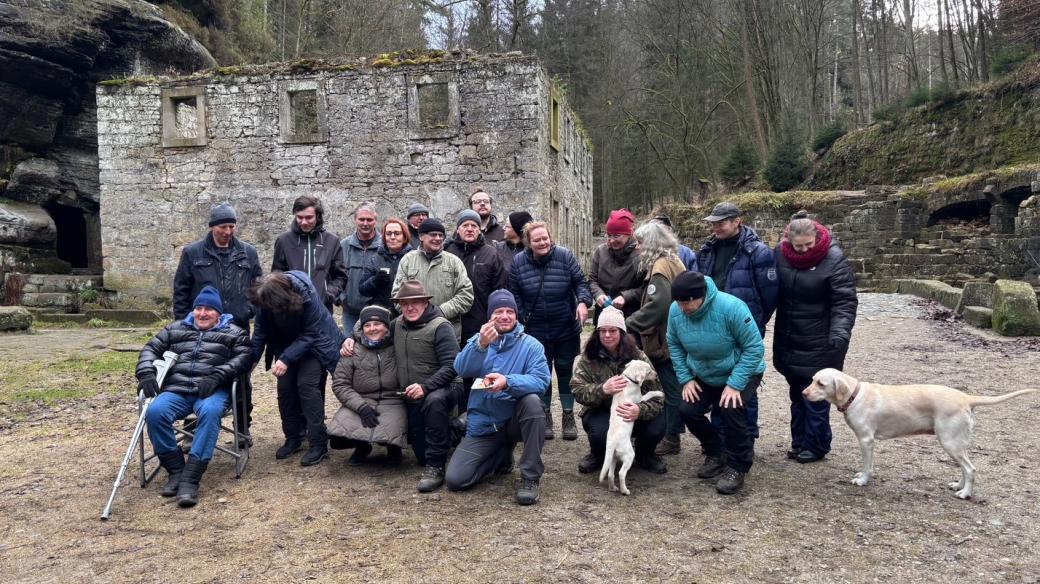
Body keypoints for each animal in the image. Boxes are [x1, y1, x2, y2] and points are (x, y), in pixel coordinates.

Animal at [599, 359, 661, 494]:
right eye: (649, 371)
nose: (656, 375)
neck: (628, 379)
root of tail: (612, 443)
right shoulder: (639, 399)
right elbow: (649, 393)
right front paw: (659, 393)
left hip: (613, 457)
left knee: (610, 474)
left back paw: (613, 488)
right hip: (629, 455)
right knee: (621, 473)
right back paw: (625, 491)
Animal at [802, 367, 1031, 494]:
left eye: (821, 383)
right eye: (811, 380)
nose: (803, 393)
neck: (854, 395)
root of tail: (965, 397)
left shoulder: (866, 440)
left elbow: (868, 466)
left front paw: (862, 480)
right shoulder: (869, 442)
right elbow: (869, 465)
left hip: (950, 442)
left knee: (970, 469)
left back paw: (965, 494)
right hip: (957, 444)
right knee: (965, 468)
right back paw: (958, 486)